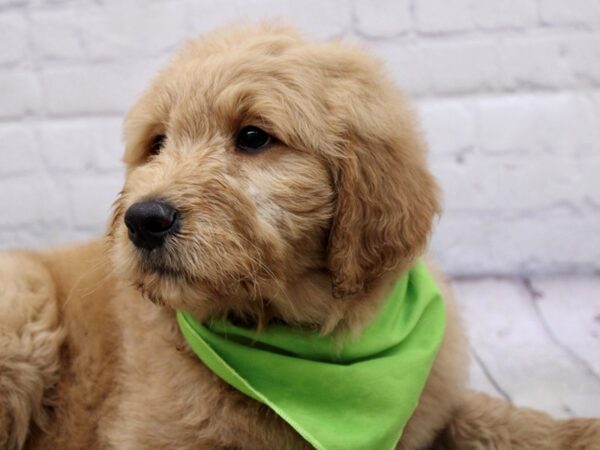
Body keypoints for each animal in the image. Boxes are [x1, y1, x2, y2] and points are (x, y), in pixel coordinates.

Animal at [1, 23, 600, 450]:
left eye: (253, 137)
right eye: (157, 143)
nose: (143, 220)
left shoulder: (434, 398)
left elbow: (487, 414)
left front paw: (575, 432)